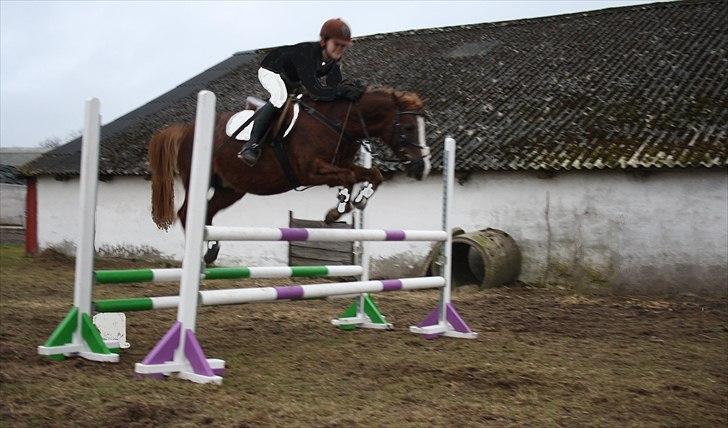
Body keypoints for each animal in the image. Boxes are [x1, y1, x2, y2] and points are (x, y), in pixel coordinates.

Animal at [148, 86, 432, 264]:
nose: (422, 168)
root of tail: (187, 129)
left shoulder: (339, 165)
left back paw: (211, 250)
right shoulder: (311, 172)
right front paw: (339, 209)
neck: (337, 123)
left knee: (208, 211)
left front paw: (353, 202)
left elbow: (371, 174)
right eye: (409, 127)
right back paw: (200, 251)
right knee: (186, 213)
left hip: (231, 189)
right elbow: (349, 177)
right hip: (200, 178)